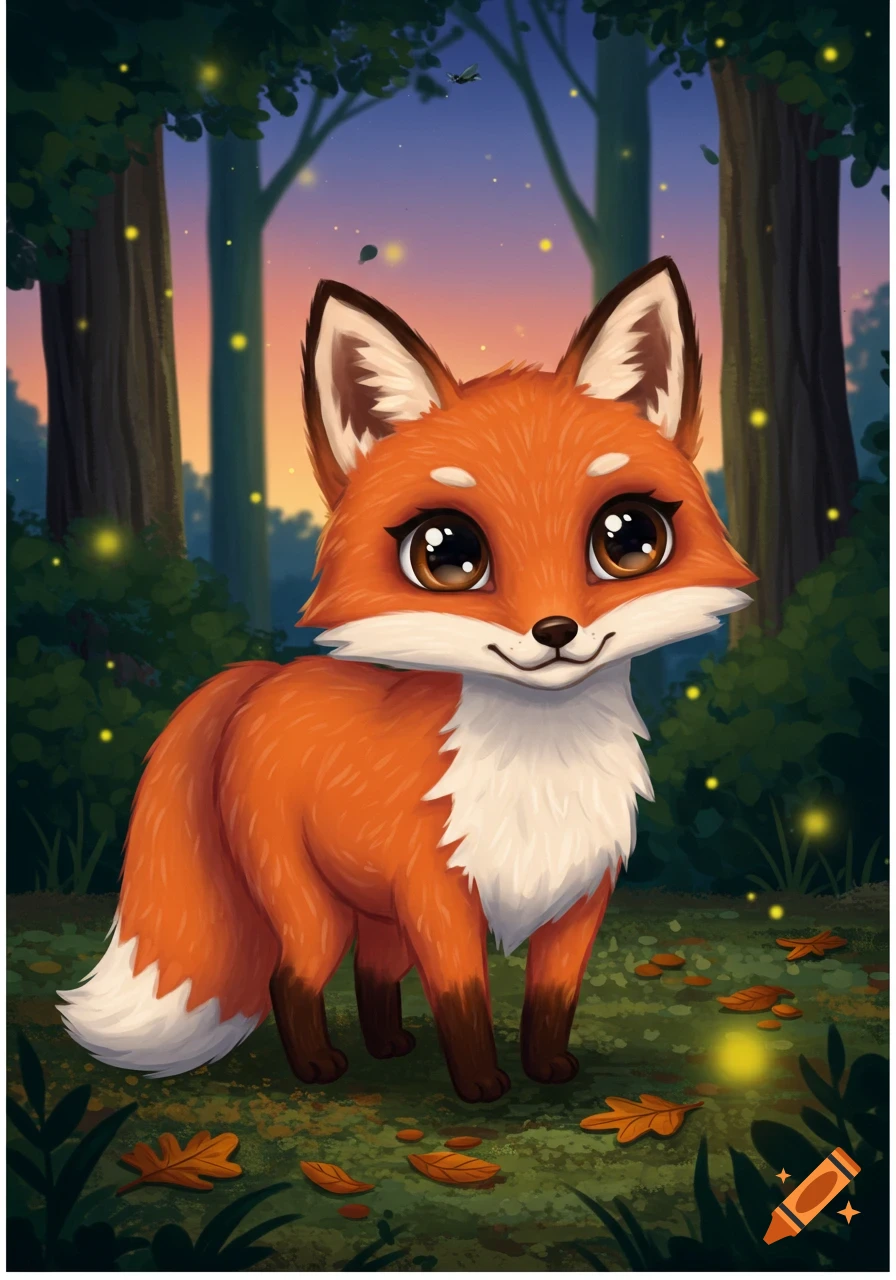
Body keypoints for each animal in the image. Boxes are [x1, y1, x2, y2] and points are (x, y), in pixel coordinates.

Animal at [58, 257, 756, 1103]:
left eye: (627, 538)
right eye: (447, 551)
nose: (556, 633)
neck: (540, 768)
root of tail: (261, 678)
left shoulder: (578, 901)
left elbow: (552, 1000)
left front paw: (549, 1072)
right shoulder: (436, 895)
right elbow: (463, 998)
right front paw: (481, 1088)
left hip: (376, 913)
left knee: (373, 974)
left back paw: (389, 1046)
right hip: (311, 906)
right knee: (293, 977)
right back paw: (319, 1066)